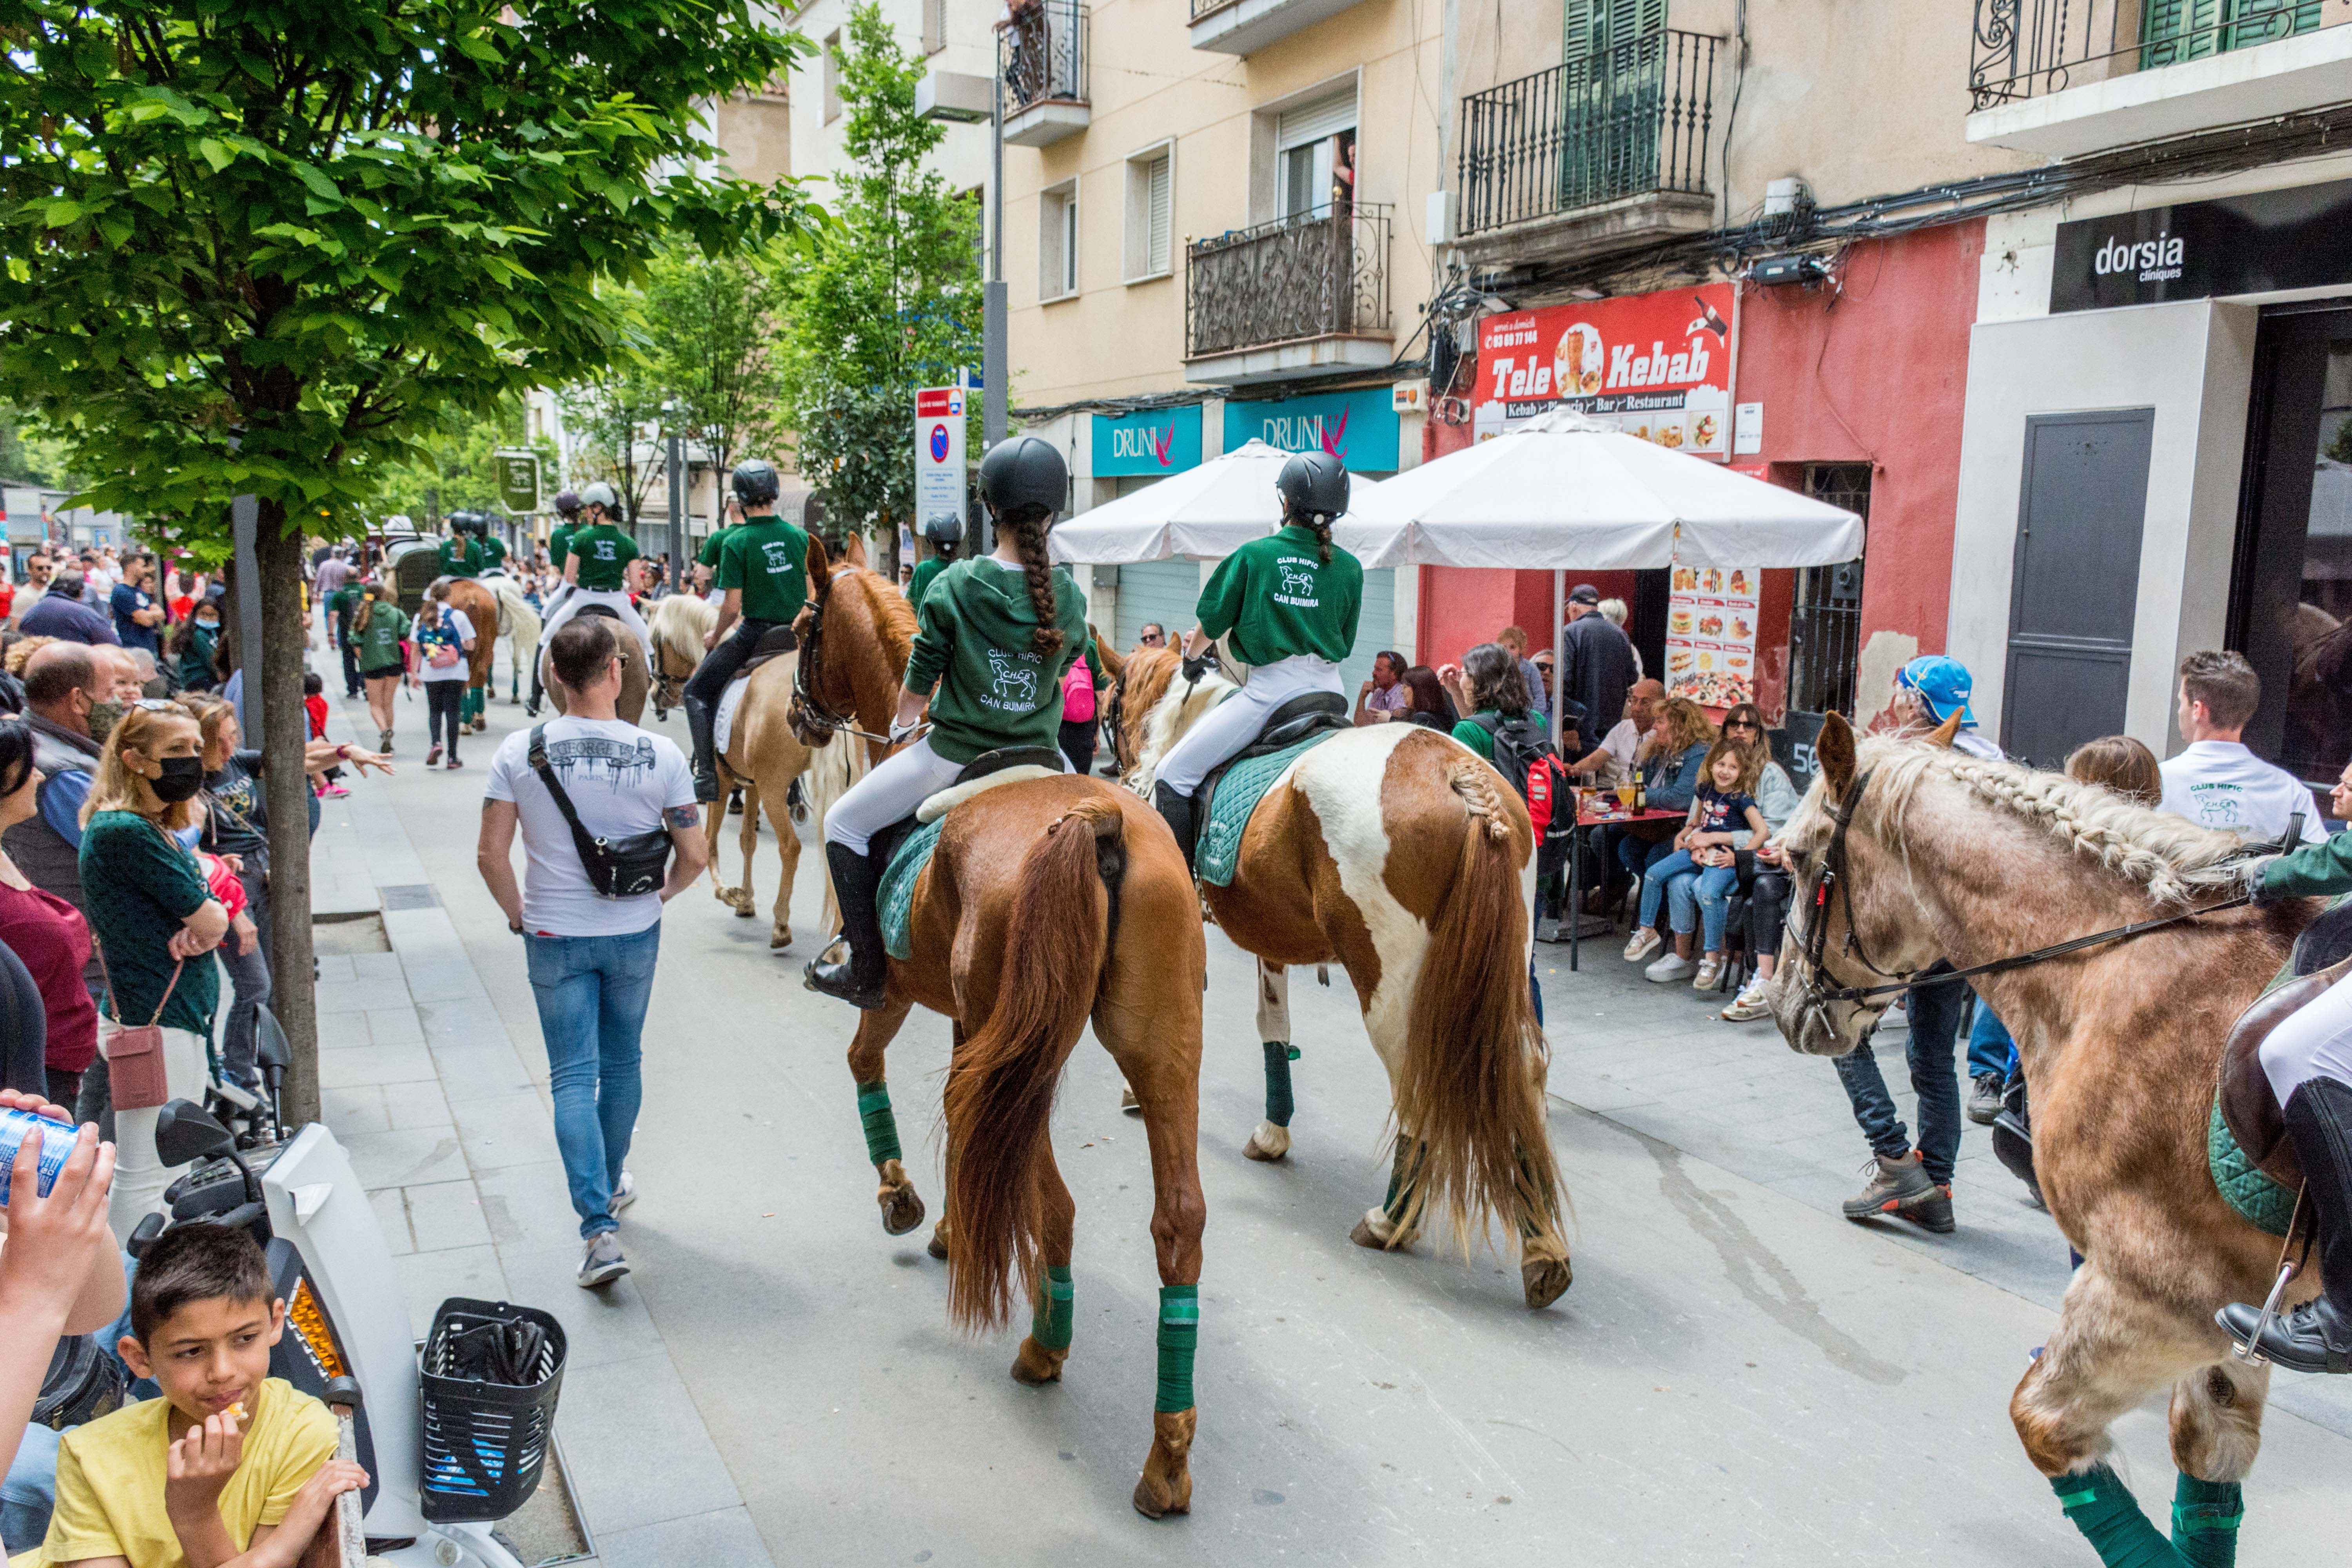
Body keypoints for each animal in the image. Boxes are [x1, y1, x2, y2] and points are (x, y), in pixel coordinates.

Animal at [790, 550, 1214, 1523]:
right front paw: (951, 1220)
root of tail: (1097, 822)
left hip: (1026, 1052)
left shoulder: (901, 991)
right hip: (1156, 1047)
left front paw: (904, 1200)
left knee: (1050, 1199)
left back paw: (1044, 1346)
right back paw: (1167, 1458)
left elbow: (863, 1060)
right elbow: (959, 1121)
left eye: (801, 627)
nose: (796, 715)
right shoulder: (967, 1027)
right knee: (1177, 1220)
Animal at [1115, 644, 1571, 1307]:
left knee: (1415, 1084)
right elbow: (1273, 1028)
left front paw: (1134, 1093)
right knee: (1521, 1073)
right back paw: (1544, 1251)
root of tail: (1461, 777)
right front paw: (1273, 1132)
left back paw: (1391, 1220)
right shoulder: (1271, 936)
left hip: (1390, 987)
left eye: (1113, 694)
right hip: (1506, 970)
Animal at [1769, 710, 2324, 1561]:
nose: (1786, 1004)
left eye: (1797, 859)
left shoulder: (2155, 1295)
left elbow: (2044, 1426)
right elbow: (2210, 1462)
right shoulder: (2232, 1330)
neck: (2116, 968)